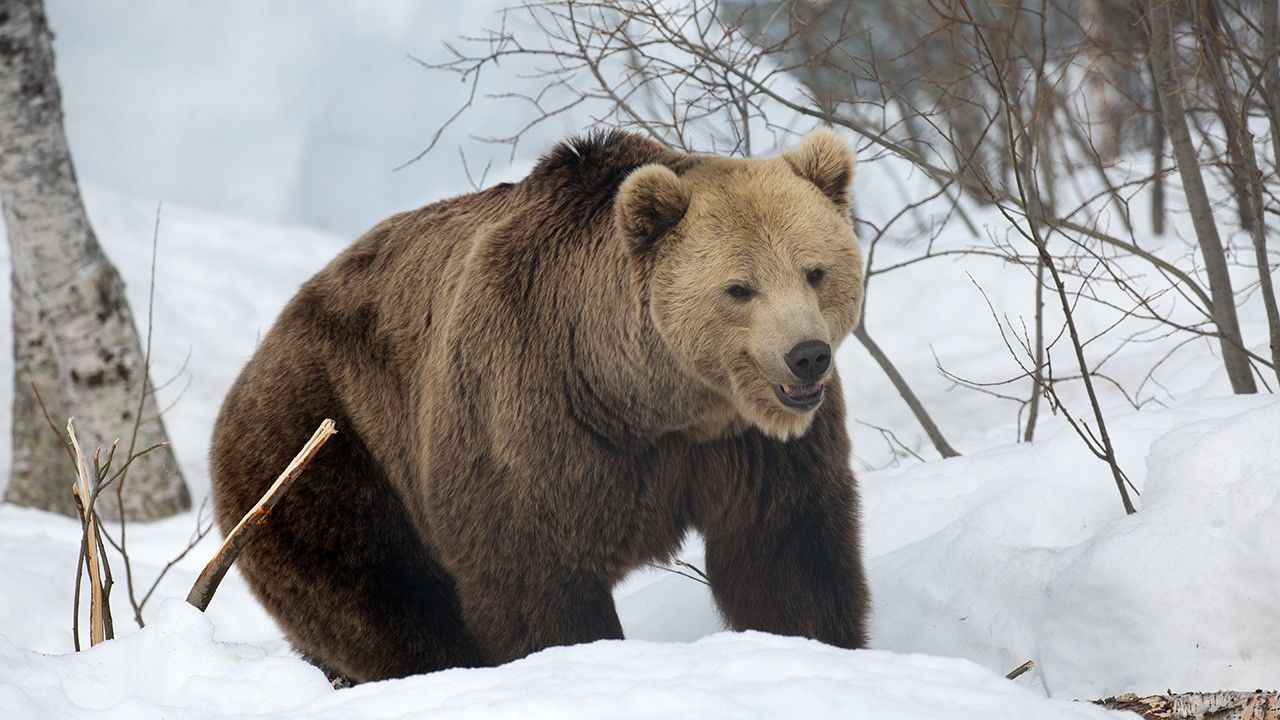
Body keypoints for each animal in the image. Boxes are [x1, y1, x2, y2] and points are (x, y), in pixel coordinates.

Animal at [209, 126, 870, 681]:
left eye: (814, 271)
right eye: (739, 288)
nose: (807, 356)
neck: (651, 401)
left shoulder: (749, 448)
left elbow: (786, 552)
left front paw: (813, 644)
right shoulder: (536, 418)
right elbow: (533, 572)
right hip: (329, 451)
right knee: (384, 598)